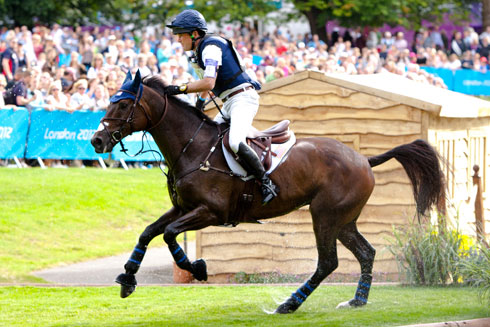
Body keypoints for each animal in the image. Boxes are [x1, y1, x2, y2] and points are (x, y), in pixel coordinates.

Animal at [90, 72, 446, 316]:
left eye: (124, 103)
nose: (96, 141)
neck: (192, 146)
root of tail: (364, 159)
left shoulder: (210, 212)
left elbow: (168, 235)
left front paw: (197, 268)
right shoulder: (183, 207)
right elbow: (148, 232)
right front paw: (128, 278)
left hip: (325, 216)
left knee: (328, 262)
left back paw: (289, 303)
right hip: (344, 220)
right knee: (366, 253)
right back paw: (356, 300)